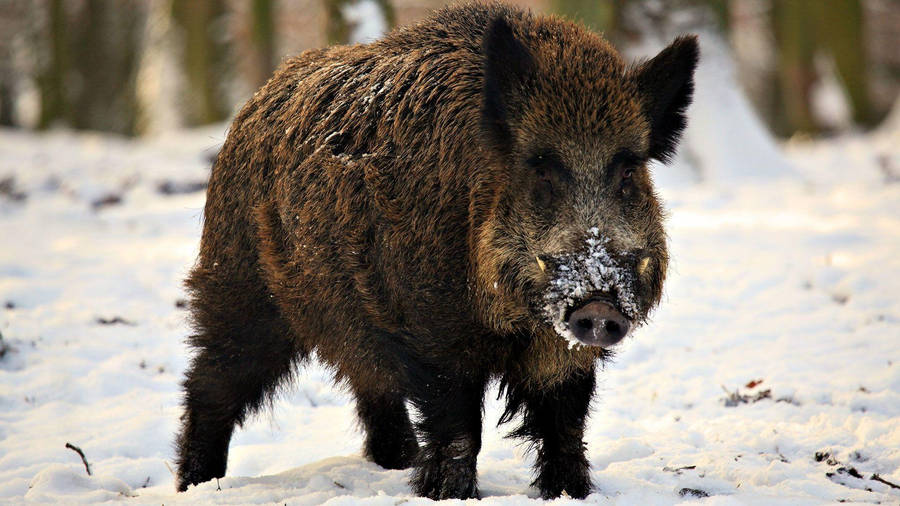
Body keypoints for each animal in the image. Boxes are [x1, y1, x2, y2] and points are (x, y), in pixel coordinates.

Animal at [174, 2, 697, 500]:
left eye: (627, 170)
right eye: (541, 168)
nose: (599, 306)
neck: (514, 320)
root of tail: (255, 103)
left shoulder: (561, 350)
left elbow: (564, 425)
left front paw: (571, 492)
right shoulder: (432, 330)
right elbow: (459, 429)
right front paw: (449, 494)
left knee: (370, 383)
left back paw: (397, 463)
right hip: (241, 285)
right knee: (212, 380)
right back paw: (197, 484)